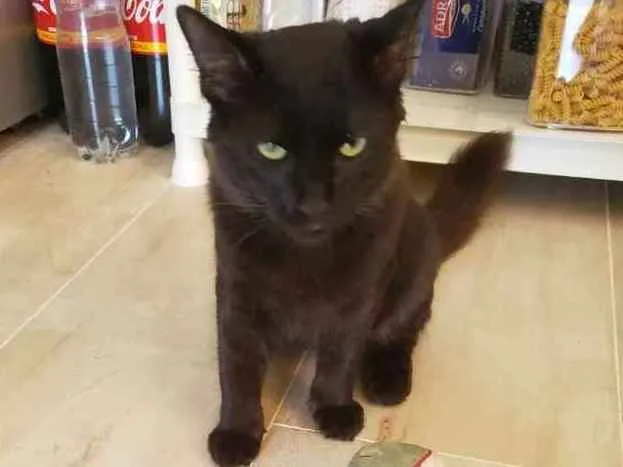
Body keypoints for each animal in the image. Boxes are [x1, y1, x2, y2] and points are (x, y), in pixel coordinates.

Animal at [177, 1, 511, 465]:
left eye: (351, 147)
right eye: (271, 150)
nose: (314, 204)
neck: (304, 256)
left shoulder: (361, 293)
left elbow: (342, 353)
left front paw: (334, 409)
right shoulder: (235, 288)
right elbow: (236, 364)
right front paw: (237, 433)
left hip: (416, 263)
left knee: (404, 327)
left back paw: (387, 377)